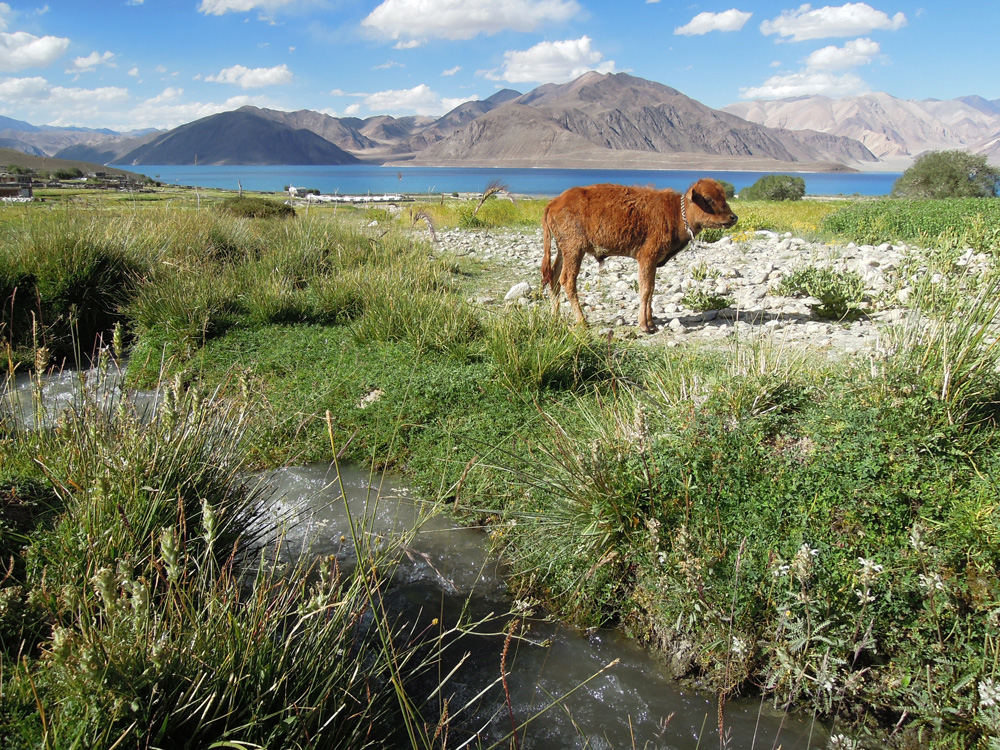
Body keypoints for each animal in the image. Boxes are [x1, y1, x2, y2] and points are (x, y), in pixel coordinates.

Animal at [544, 181, 740, 334]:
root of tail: (554, 202)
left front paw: (651, 323)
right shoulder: (646, 258)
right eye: (708, 198)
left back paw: (555, 317)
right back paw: (583, 321)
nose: (733, 217)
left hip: (563, 250)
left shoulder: (652, 262)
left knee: (554, 277)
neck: (676, 212)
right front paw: (644, 326)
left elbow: (651, 289)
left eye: (723, 196)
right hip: (575, 250)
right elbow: (645, 290)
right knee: (567, 280)